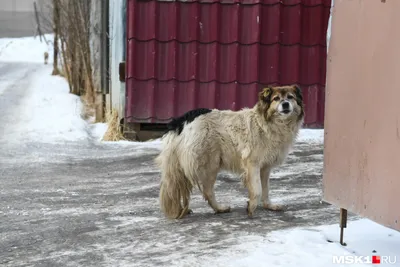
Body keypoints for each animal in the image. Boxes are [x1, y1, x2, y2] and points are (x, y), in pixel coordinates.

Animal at [155, 85, 304, 220]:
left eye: (290, 97)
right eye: (276, 99)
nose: (285, 104)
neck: (266, 123)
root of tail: (182, 120)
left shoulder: (265, 167)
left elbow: (266, 189)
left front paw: (269, 205)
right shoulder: (252, 164)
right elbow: (257, 190)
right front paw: (251, 208)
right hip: (209, 165)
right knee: (207, 191)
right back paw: (217, 208)